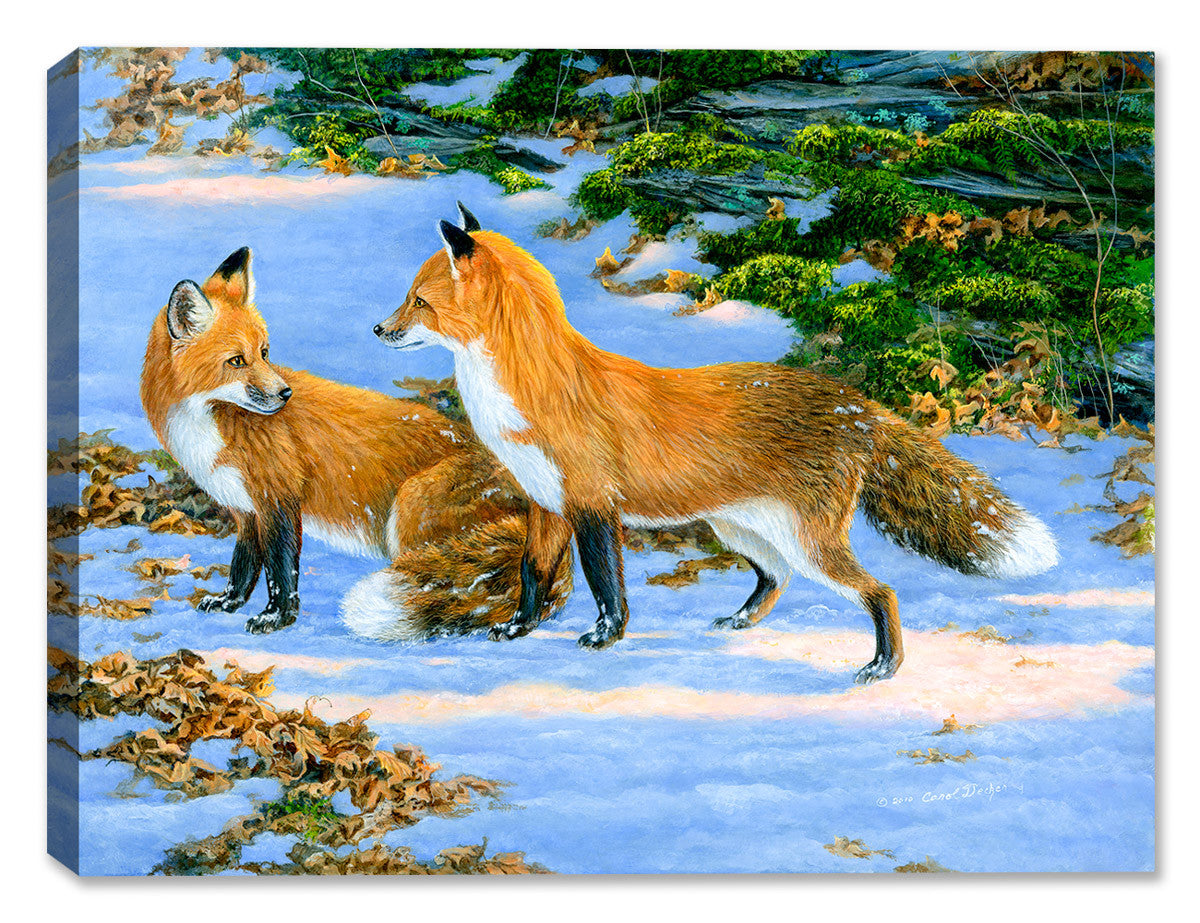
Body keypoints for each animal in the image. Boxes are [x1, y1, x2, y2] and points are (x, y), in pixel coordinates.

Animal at [140, 246, 573, 638]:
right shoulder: (247, 509)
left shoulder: (278, 499)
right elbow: (243, 566)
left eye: (264, 353)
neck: (208, 423)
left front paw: (277, 618)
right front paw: (229, 602)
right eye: (236, 361)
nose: (285, 394)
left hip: (409, 508)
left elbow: (281, 571)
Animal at [372, 203, 1059, 683]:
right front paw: (518, 631)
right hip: (743, 529)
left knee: (879, 591)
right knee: (777, 578)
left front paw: (605, 639)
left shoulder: (593, 506)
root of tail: (852, 403)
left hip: (804, 539)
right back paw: (739, 620)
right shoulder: (546, 502)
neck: (531, 393)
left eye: (418, 301)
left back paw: (882, 667)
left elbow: (605, 585)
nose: (378, 329)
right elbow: (532, 575)